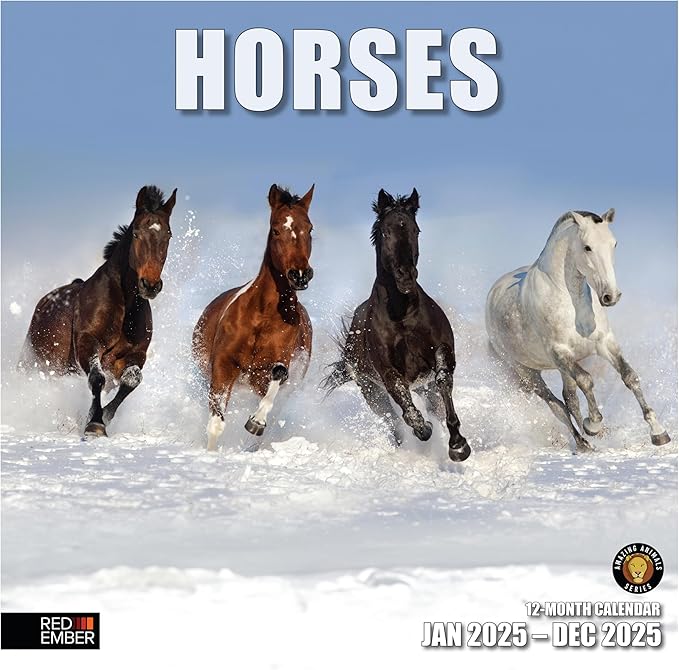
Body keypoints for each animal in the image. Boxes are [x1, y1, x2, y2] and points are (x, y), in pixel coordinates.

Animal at [19, 185, 177, 437]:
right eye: (136, 234)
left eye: (168, 235)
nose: (150, 285)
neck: (123, 308)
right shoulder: (87, 344)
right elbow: (97, 378)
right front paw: (94, 424)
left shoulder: (134, 355)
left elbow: (130, 381)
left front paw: (101, 418)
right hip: (37, 361)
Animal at [192, 184, 315, 450]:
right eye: (276, 229)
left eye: (310, 229)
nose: (300, 275)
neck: (262, 316)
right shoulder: (223, 365)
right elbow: (216, 422)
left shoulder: (274, 367)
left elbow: (278, 376)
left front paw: (256, 422)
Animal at [323, 188, 471, 462]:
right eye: (386, 232)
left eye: (416, 230)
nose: (406, 276)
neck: (402, 316)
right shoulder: (388, 373)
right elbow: (406, 405)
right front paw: (423, 429)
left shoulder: (441, 352)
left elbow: (444, 379)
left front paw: (458, 445)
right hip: (371, 391)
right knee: (391, 420)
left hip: (423, 387)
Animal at [485, 208, 671, 452]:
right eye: (587, 247)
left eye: (614, 244)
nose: (611, 296)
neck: (571, 300)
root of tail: (493, 294)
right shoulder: (560, 352)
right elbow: (586, 380)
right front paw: (593, 424)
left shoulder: (604, 343)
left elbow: (629, 376)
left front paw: (658, 432)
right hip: (527, 372)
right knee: (556, 404)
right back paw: (583, 441)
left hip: (562, 369)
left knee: (569, 398)